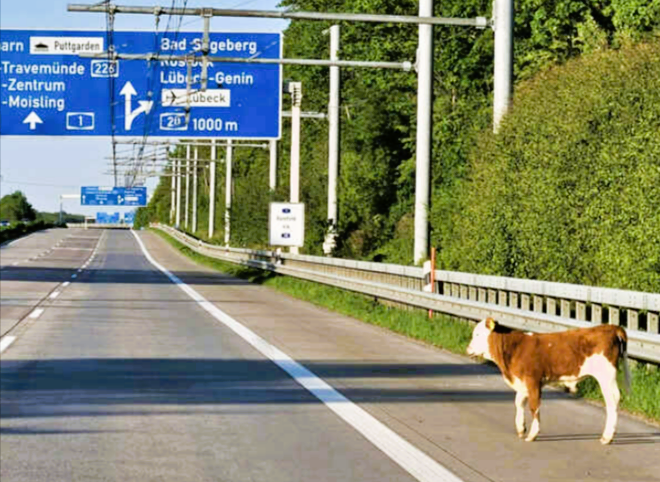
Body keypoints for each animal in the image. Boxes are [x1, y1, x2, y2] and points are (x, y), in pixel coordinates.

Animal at [466, 318, 631, 444]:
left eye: (478, 334)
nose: (468, 349)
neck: (514, 349)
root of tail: (611, 327)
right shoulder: (522, 383)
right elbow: (518, 402)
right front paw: (521, 428)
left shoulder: (533, 380)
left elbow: (534, 406)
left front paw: (532, 434)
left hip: (606, 376)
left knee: (612, 402)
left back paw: (607, 437)